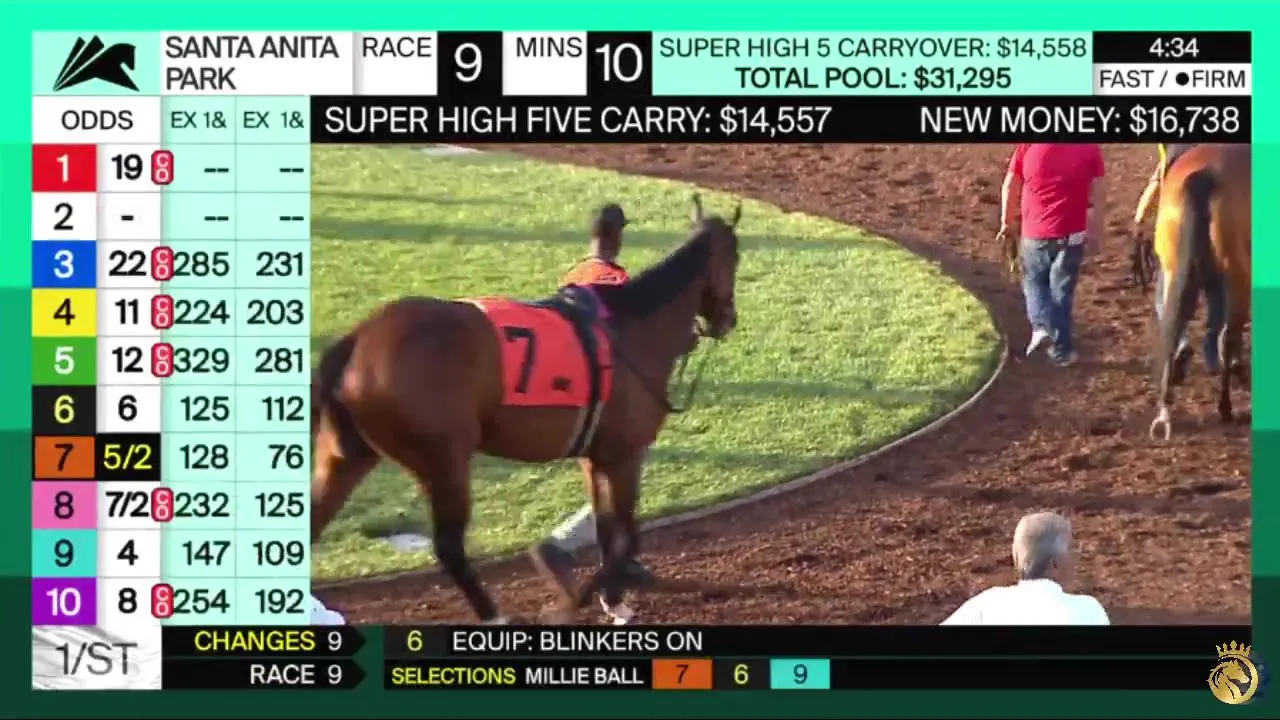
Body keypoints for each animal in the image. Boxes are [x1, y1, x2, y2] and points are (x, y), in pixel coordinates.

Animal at [310, 194, 743, 624]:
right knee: (449, 546)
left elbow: (607, 530)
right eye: (735, 257)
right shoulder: (625, 455)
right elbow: (626, 534)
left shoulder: (596, 457)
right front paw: (585, 596)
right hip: (443, 460)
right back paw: (495, 616)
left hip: (347, 456)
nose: (728, 319)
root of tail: (358, 338)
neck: (632, 327)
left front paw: (609, 595)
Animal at [1149, 144, 1251, 441]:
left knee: (1173, 327)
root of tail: (1205, 174)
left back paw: (1165, 406)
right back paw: (1226, 407)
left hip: (1176, 271)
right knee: (1228, 336)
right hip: (1238, 275)